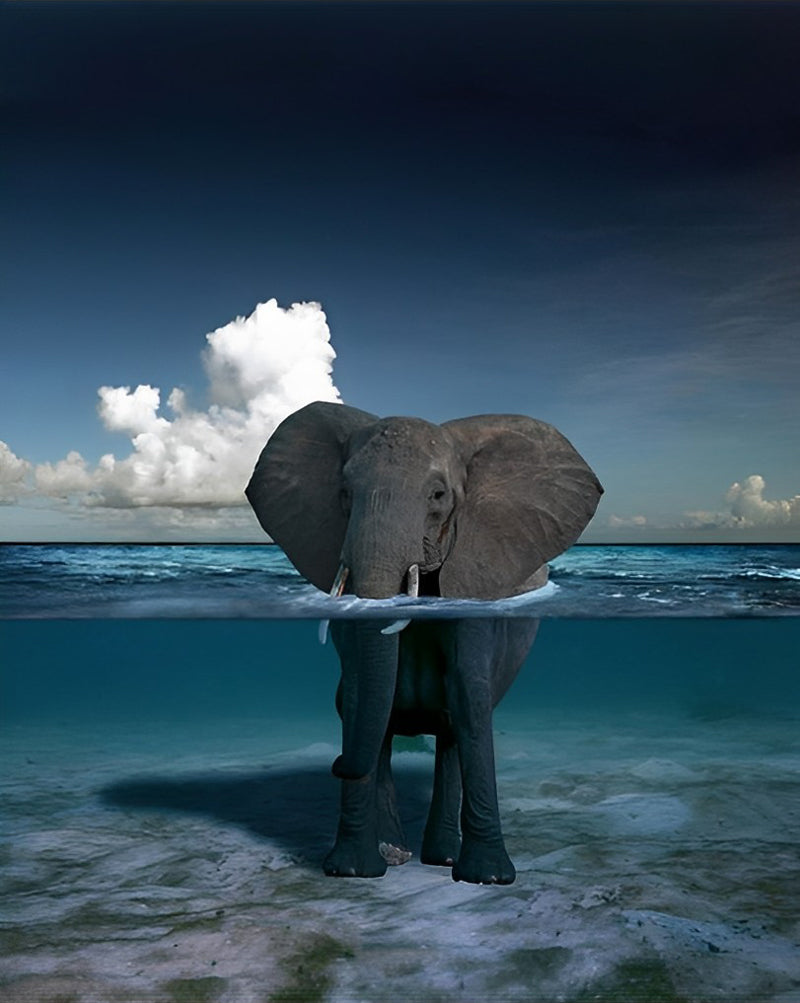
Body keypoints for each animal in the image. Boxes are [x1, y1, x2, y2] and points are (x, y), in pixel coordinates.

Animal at [245, 402, 602, 884]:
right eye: (345, 493)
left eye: (437, 496)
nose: (335, 764)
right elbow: (358, 694)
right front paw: (353, 872)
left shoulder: (476, 584)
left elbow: (469, 696)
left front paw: (488, 878)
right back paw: (396, 853)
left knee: (452, 728)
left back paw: (443, 859)